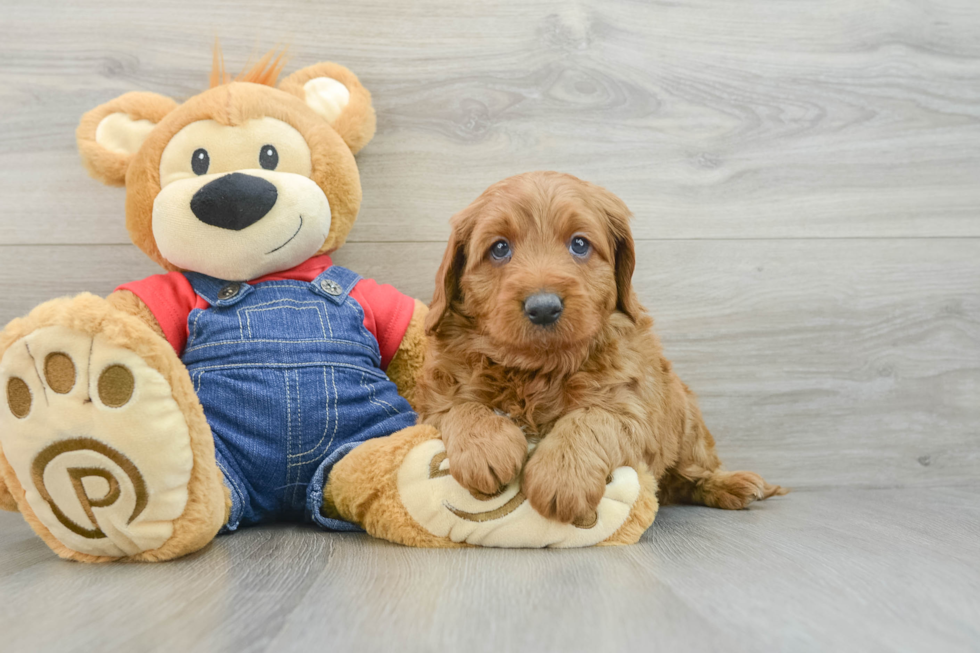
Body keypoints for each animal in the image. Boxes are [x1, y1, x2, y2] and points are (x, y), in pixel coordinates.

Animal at [418, 171, 784, 524]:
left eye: (579, 244)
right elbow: (461, 406)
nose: (544, 307)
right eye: (499, 248)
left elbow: (592, 418)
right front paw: (486, 448)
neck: (540, 369)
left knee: (692, 472)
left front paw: (561, 476)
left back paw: (732, 484)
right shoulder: (435, 400)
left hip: (687, 422)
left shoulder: (634, 408)